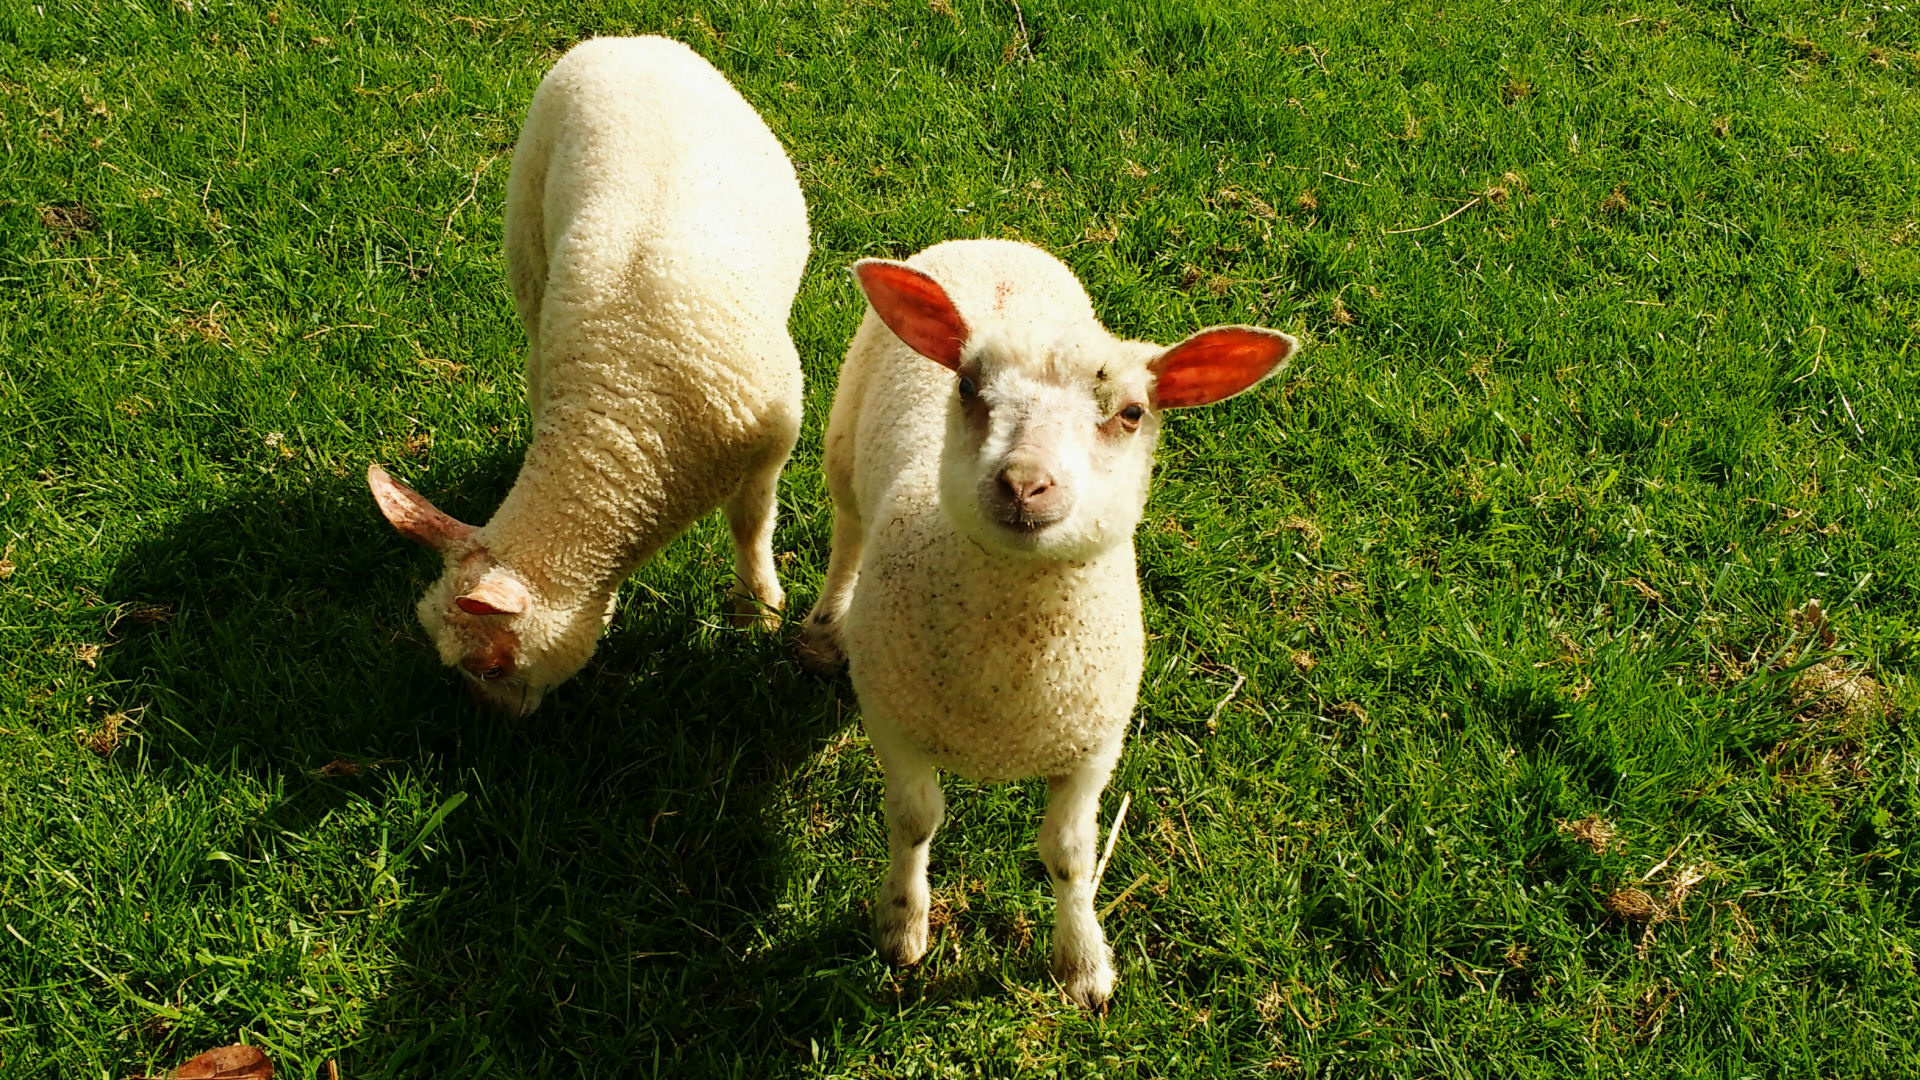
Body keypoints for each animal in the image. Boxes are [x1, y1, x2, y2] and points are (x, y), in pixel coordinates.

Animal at [362, 33, 806, 711]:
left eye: (490, 666)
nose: (495, 724)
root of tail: (623, 40)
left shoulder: (769, 446)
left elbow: (751, 527)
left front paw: (757, 609)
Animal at [787, 239, 1297, 1006]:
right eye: (968, 387)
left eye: (1132, 413)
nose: (1024, 483)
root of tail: (993, 241)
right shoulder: (894, 719)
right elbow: (915, 822)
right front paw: (903, 927)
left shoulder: (1093, 745)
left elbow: (1069, 855)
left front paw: (1084, 964)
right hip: (844, 440)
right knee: (848, 528)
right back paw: (826, 628)